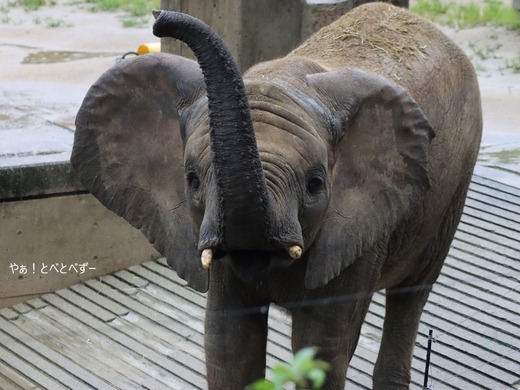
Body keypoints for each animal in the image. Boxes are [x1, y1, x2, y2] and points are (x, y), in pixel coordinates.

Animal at [71, 3, 482, 390]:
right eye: (192, 181)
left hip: (457, 180)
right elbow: (229, 345)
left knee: (410, 295)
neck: (284, 80)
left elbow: (321, 347)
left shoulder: (359, 229)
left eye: (315, 184)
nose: (158, 17)